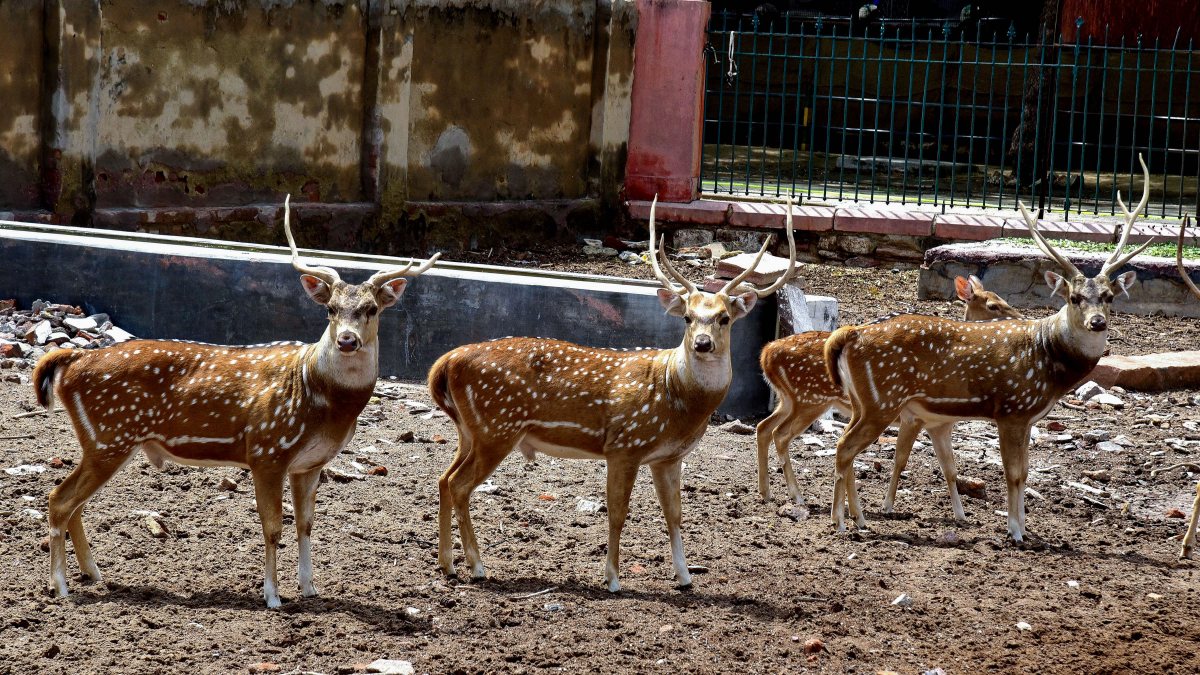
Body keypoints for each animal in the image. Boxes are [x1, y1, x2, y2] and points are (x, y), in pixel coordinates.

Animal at [31, 195, 439, 608]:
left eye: (371, 309)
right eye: (331, 309)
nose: (347, 340)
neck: (318, 394)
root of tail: (71, 360)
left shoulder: (309, 463)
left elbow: (306, 524)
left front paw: (310, 588)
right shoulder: (267, 450)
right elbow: (273, 527)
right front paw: (272, 596)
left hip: (104, 441)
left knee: (74, 503)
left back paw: (93, 574)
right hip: (109, 436)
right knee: (58, 499)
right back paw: (59, 585)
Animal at [427, 196, 797, 592]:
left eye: (724, 318)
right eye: (687, 317)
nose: (702, 343)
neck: (678, 399)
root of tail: (445, 363)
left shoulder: (667, 457)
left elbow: (675, 514)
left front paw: (684, 577)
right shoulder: (625, 445)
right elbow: (618, 513)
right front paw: (613, 579)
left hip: (470, 431)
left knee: (444, 479)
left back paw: (448, 564)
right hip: (497, 427)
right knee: (460, 484)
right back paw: (477, 566)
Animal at [756, 275, 1021, 519]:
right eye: (992, 305)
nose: (1018, 318)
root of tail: (766, 354)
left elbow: (946, 467)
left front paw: (960, 515)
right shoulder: (913, 417)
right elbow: (901, 459)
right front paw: (888, 506)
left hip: (788, 400)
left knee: (764, 427)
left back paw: (767, 492)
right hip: (810, 400)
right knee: (781, 434)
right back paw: (797, 496)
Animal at [823, 154, 1154, 543]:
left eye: (1108, 296)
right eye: (1074, 297)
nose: (1097, 322)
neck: (1048, 363)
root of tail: (850, 335)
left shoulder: (1027, 417)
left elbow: (1024, 473)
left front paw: (1025, 528)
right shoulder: (1011, 408)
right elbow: (1012, 473)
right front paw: (1015, 532)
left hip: (865, 402)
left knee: (845, 446)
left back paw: (857, 519)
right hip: (882, 399)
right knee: (844, 447)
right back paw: (842, 521)